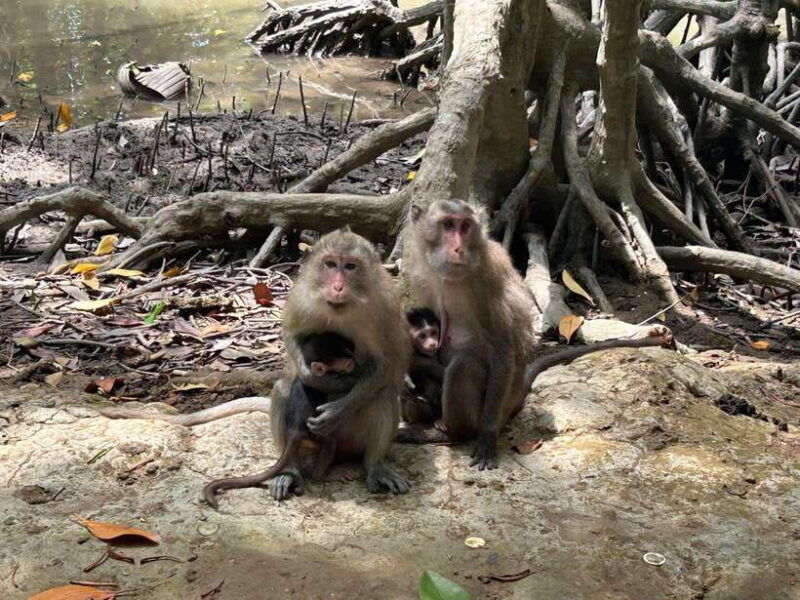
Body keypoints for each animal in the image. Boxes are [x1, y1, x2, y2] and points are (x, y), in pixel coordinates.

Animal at [203, 332, 357, 509]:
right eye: (345, 361)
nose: (353, 361)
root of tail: (295, 430)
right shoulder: (332, 378)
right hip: (314, 436)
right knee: (329, 442)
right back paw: (319, 475)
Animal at [399, 198, 673, 470]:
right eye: (448, 225)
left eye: (465, 226)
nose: (458, 248)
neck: (452, 277)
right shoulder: (423, 278)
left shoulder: (489, 278)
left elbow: (503, 349)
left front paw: (487, 437)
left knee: (464, 365)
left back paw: (451, 433)